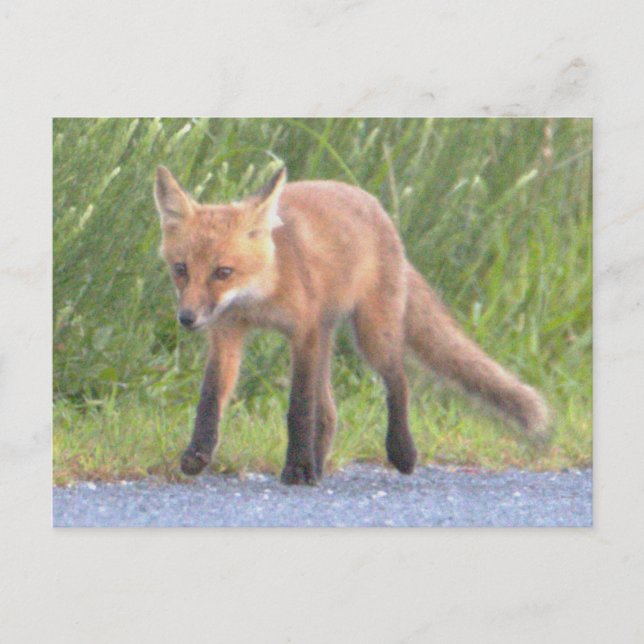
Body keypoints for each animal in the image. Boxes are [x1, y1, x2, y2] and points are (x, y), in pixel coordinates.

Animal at [154, 165, 551, 485]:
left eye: (223, 272)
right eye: (181, 269)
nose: (187, 318)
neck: (262, 296)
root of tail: (376, 206)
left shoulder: (304, 333)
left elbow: (299, 407)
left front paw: (297, 468)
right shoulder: (228, 334)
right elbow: (209, 399)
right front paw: (197, 455)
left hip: (372, 334)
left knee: (398, 381)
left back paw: (400, 450)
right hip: (330, 337)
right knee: (330, 413)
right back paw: (318, 466)